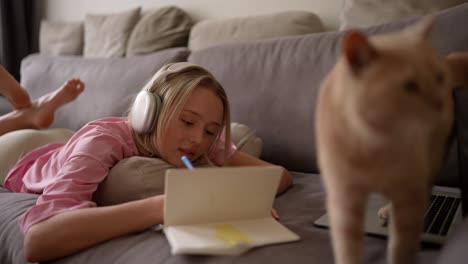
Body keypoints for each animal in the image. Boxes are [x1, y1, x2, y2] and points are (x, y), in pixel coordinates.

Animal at [312, 18, 462, 264]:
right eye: (409, 86)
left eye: (439, 78)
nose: (439, 103)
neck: (374, 145)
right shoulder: (344, 201)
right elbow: (348, 250)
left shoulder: (409, 196)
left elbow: (401, 247)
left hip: (433, 158)